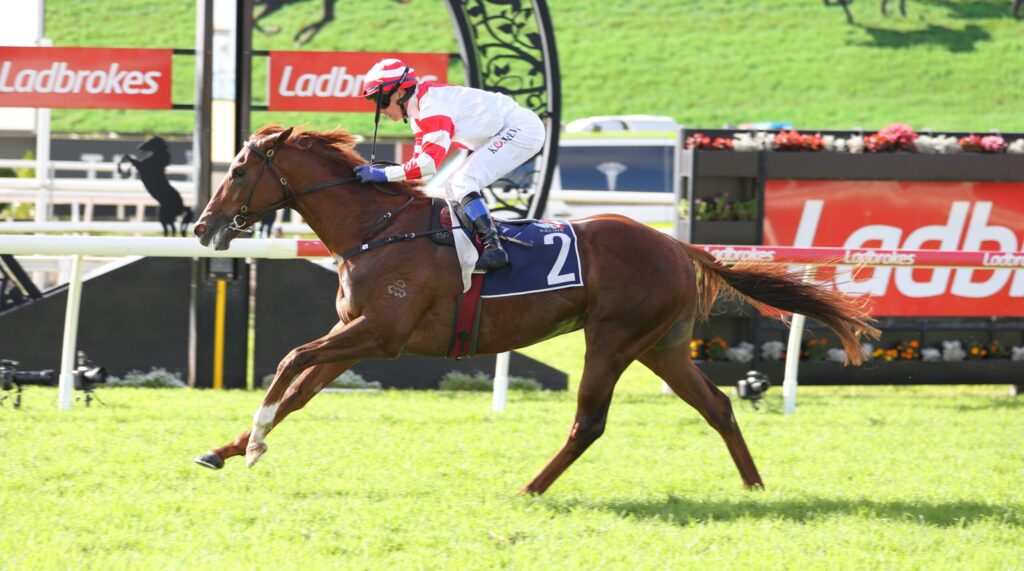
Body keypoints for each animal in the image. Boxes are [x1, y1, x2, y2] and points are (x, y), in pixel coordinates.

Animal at [191, 125, 880, 495]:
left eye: (239, 168)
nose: (202, 226)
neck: (378, 228)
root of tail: (677, 244)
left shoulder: (379, 333)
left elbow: (289, 362)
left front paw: (253, 441)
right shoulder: (354, 331)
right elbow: (300, 389)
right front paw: (226, 450)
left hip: (612, 341)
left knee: (589, 423)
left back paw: (531, 486)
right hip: (662, 346)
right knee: (717, 406)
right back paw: (754, 484)